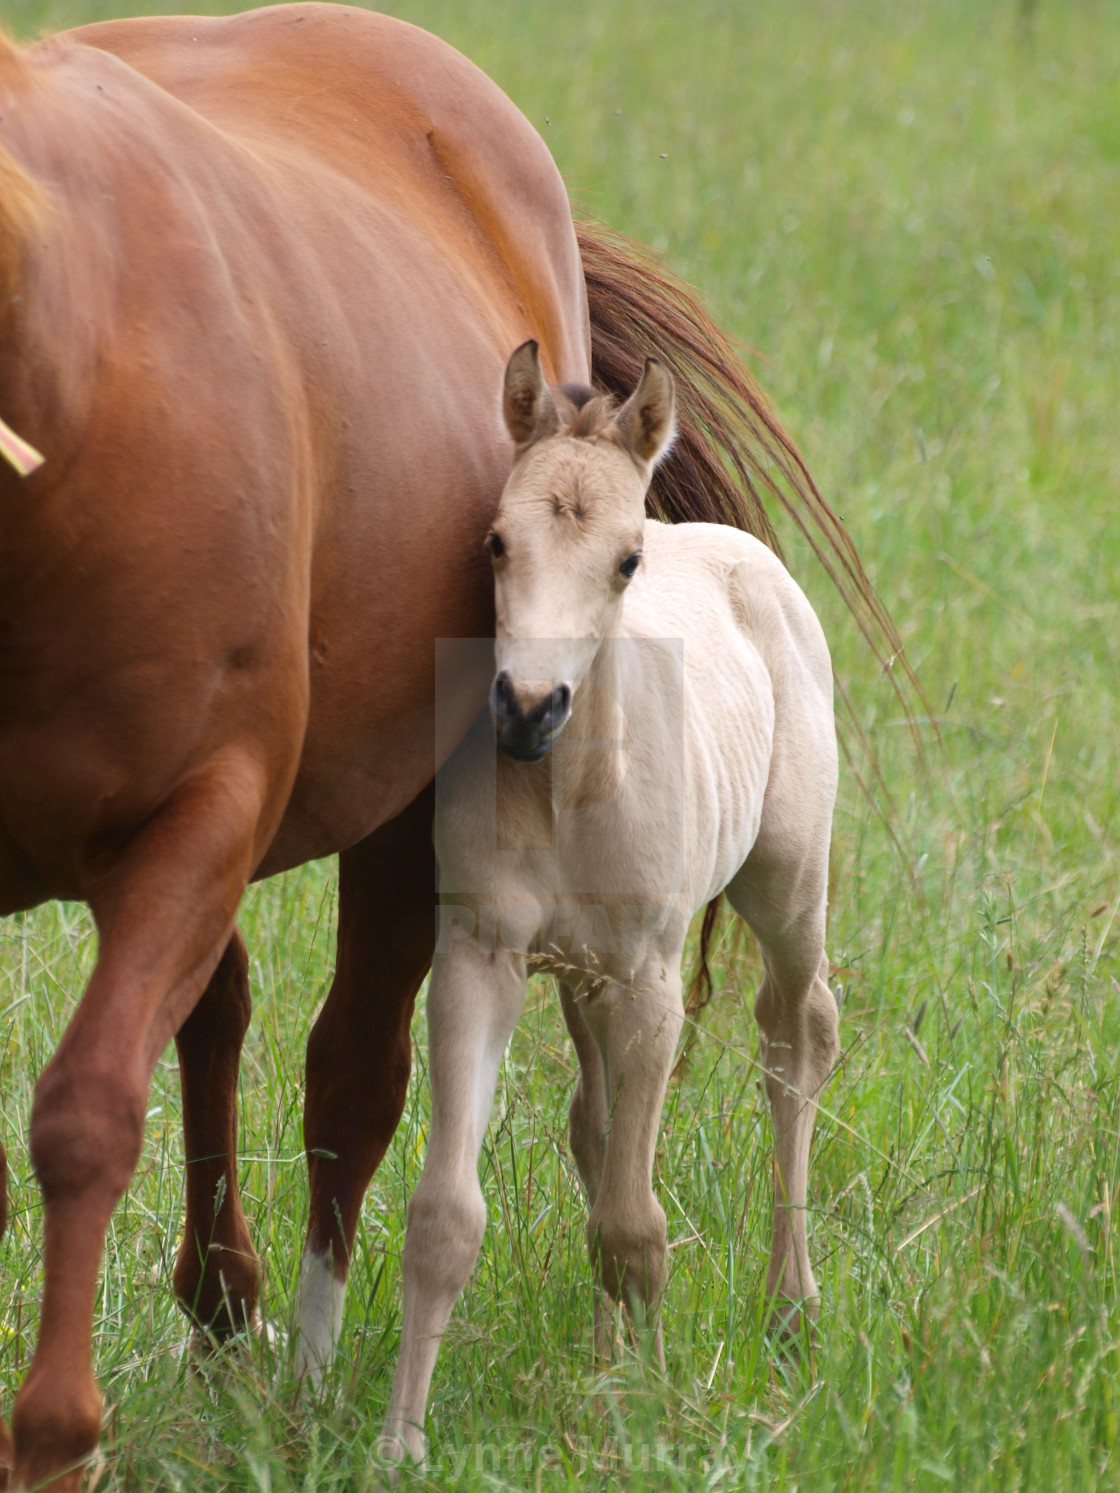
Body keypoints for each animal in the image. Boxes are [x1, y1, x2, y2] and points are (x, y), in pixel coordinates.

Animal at [382, 343, 836, 1463]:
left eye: (626, 561)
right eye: (495, 540)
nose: (525, 708)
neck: (571, 787)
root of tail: (744, 554)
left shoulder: (648, 983)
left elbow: (636, 1225)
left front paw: (658, 1408)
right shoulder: (481, 958)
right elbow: (447, 1214)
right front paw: (399, 1443)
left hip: (786, 884)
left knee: (796, 1034)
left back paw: (790, 1305)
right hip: (576, 976)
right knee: (594, 1125)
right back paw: (603, 1353)